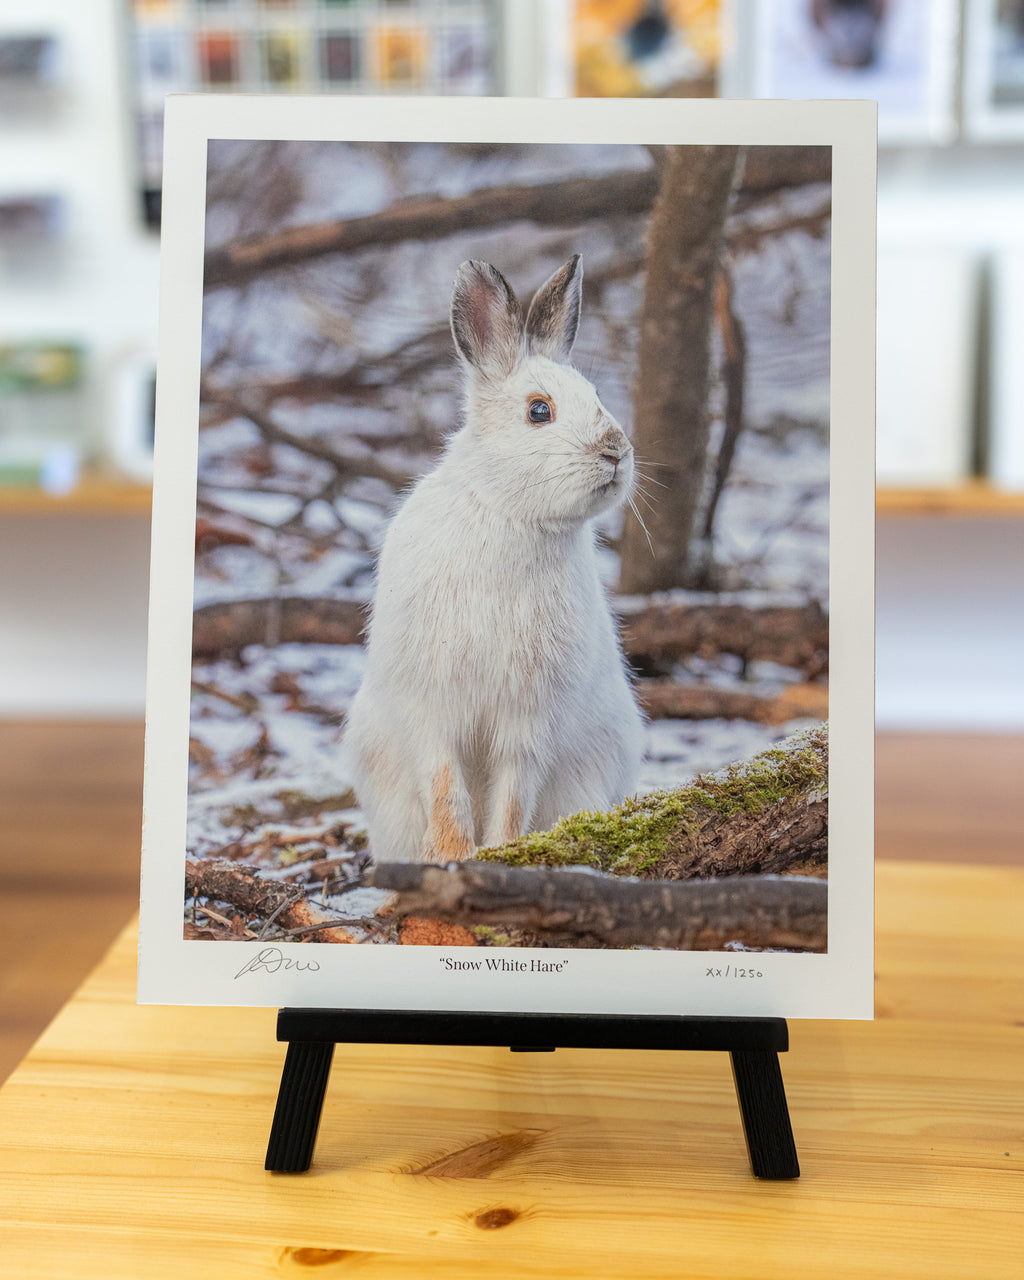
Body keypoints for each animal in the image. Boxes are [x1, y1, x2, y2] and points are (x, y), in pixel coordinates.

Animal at [343, 254, 644, 863]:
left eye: (596, 394)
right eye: (539, 411)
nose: (616, 452)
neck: (511, 515)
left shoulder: (528, 722)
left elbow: (512, 796)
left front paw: (500, 854)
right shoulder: (432, 707)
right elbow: (445, 786)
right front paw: (452, 856)